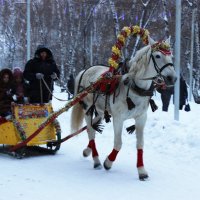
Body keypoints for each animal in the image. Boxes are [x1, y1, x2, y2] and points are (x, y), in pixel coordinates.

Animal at [70, 36, 177, 180]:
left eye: (171, 56)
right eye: (158, 55)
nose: (173, 78)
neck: (133, 86)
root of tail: (85, 71)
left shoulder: (141, 118)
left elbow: (140, 144)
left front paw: (141, 170)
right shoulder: (118, 119)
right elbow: (118, 143)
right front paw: (108, 162)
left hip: (100, 111)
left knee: (90, 128)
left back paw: (87, 151)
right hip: (88, 109)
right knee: (91, 132)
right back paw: (96, 160)